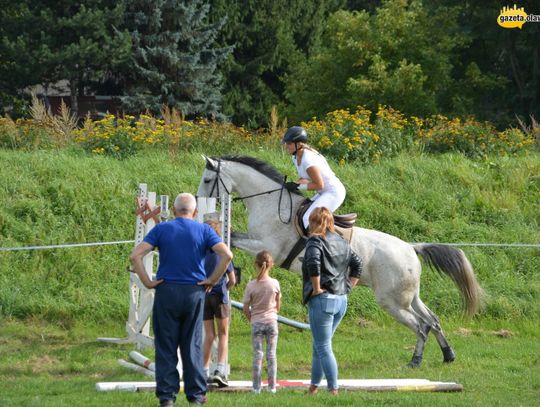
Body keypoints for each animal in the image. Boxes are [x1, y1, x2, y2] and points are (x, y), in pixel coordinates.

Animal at [196, 155, 484, 368]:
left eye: (208, 179)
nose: (198, 200)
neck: (267, 202)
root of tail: (411, 248)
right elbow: (233, 238)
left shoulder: (267, 247)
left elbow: (234, 241)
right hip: (409, 296)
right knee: (432, 319)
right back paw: (448, 355)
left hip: (392, 301)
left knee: (420, 326)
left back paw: (415, 361)